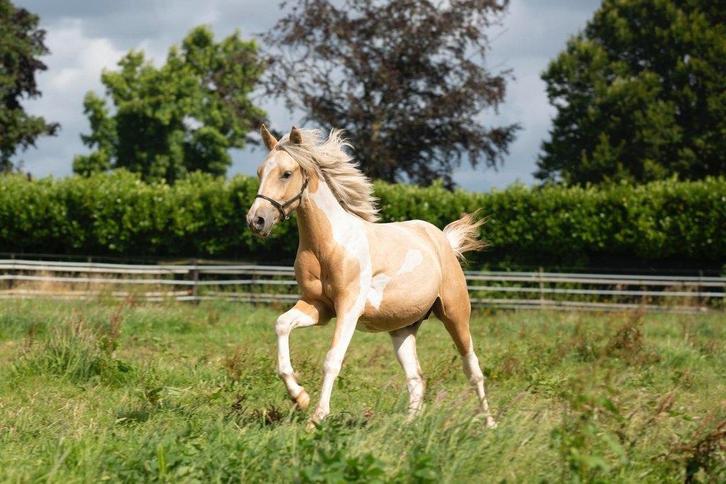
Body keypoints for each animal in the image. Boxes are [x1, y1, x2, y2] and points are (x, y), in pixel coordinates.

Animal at [246, 125, 496, 428]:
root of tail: (444, 241)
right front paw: (300, 397)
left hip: (455, 314)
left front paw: (316, 418)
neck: (327, 245)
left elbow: (332, 359)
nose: (256, 221)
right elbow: (282, 325)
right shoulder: (318, 307)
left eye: (286, 173)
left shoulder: (349, 309)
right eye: (260, 171)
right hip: (403, 328)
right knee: (416, 378)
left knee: (472, 369)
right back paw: (405, 427)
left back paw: (490, 424)